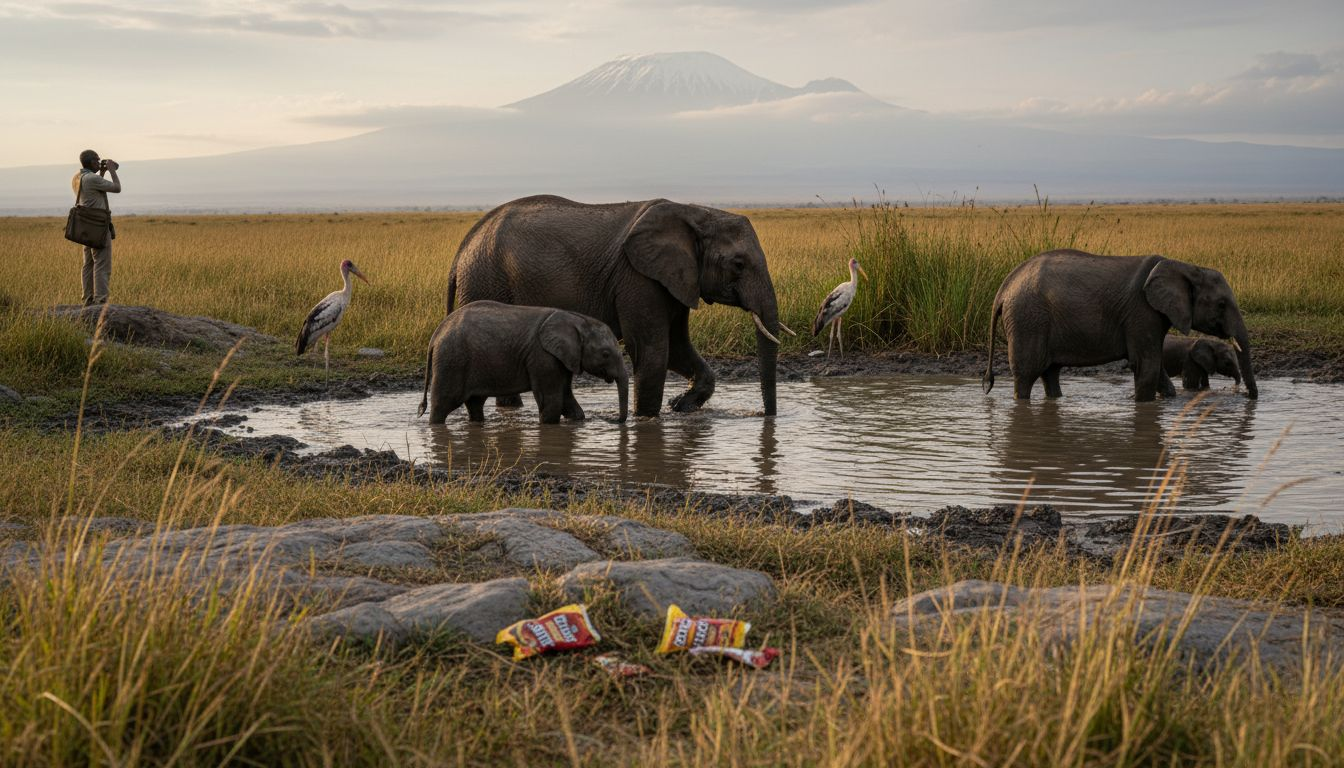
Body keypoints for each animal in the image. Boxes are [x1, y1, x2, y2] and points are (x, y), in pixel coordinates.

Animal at [417, 301, 628, 424]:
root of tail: (437, 332)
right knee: (443, 403)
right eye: (605, 354)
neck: (577, 320)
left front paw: (578, 420)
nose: (613, 420)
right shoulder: (542, 357)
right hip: (451, 360)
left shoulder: (563, 358)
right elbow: (551, 401)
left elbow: (566, 396)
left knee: (475, 403)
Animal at [446, 195, 786, 418]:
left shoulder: (675, 279)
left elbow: (677, 347)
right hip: (485, 281)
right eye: (738, 264)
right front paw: (647, 419)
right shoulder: (637, 277)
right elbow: (652, 349)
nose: (764, 417)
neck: (696, 213)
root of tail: (463, 248)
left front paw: (680, 405)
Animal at [983, 249, 1257, 401]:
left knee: (1050, 373)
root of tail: (1005, 287)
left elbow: (1155, 368)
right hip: (1028, 319)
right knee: (1027, 374)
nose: (1249, 397)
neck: (1185, 266)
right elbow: (1147, 366)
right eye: (1221, 304)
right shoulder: (1141, 311)